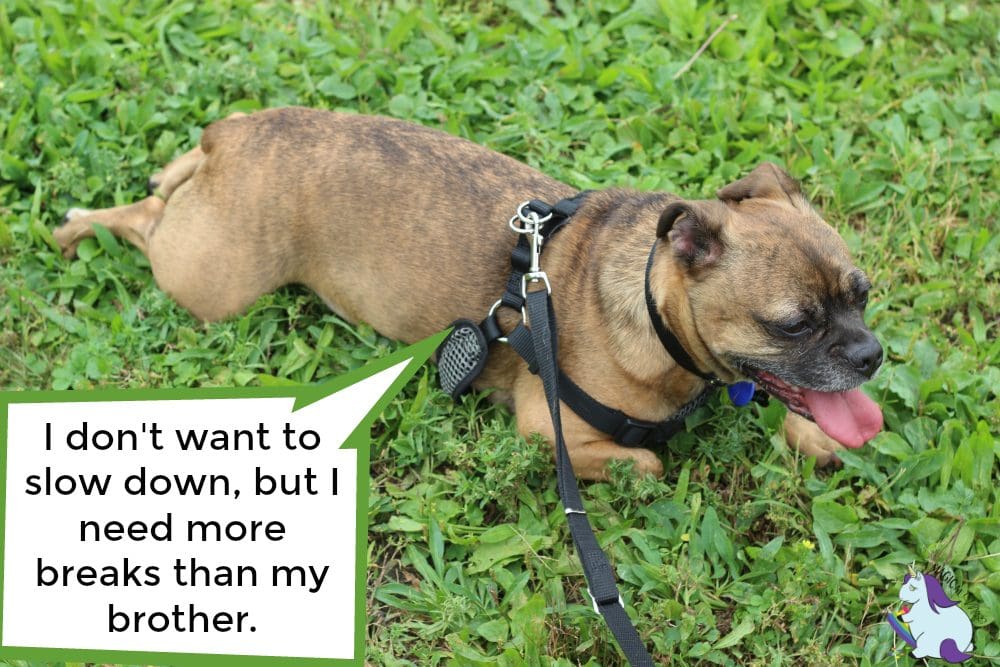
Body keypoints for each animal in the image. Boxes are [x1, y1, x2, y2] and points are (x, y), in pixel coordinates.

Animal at [54, 105, 884, 480]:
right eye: (794, 324)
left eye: (863, 294)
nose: (871, 354)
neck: (654, 310)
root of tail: (234, 133)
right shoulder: (550, 429)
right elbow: (646, 461)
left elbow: (801, 418)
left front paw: (817, 441)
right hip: (210, 280)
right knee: (143, 219)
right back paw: (78, 227)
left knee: (163, 187)